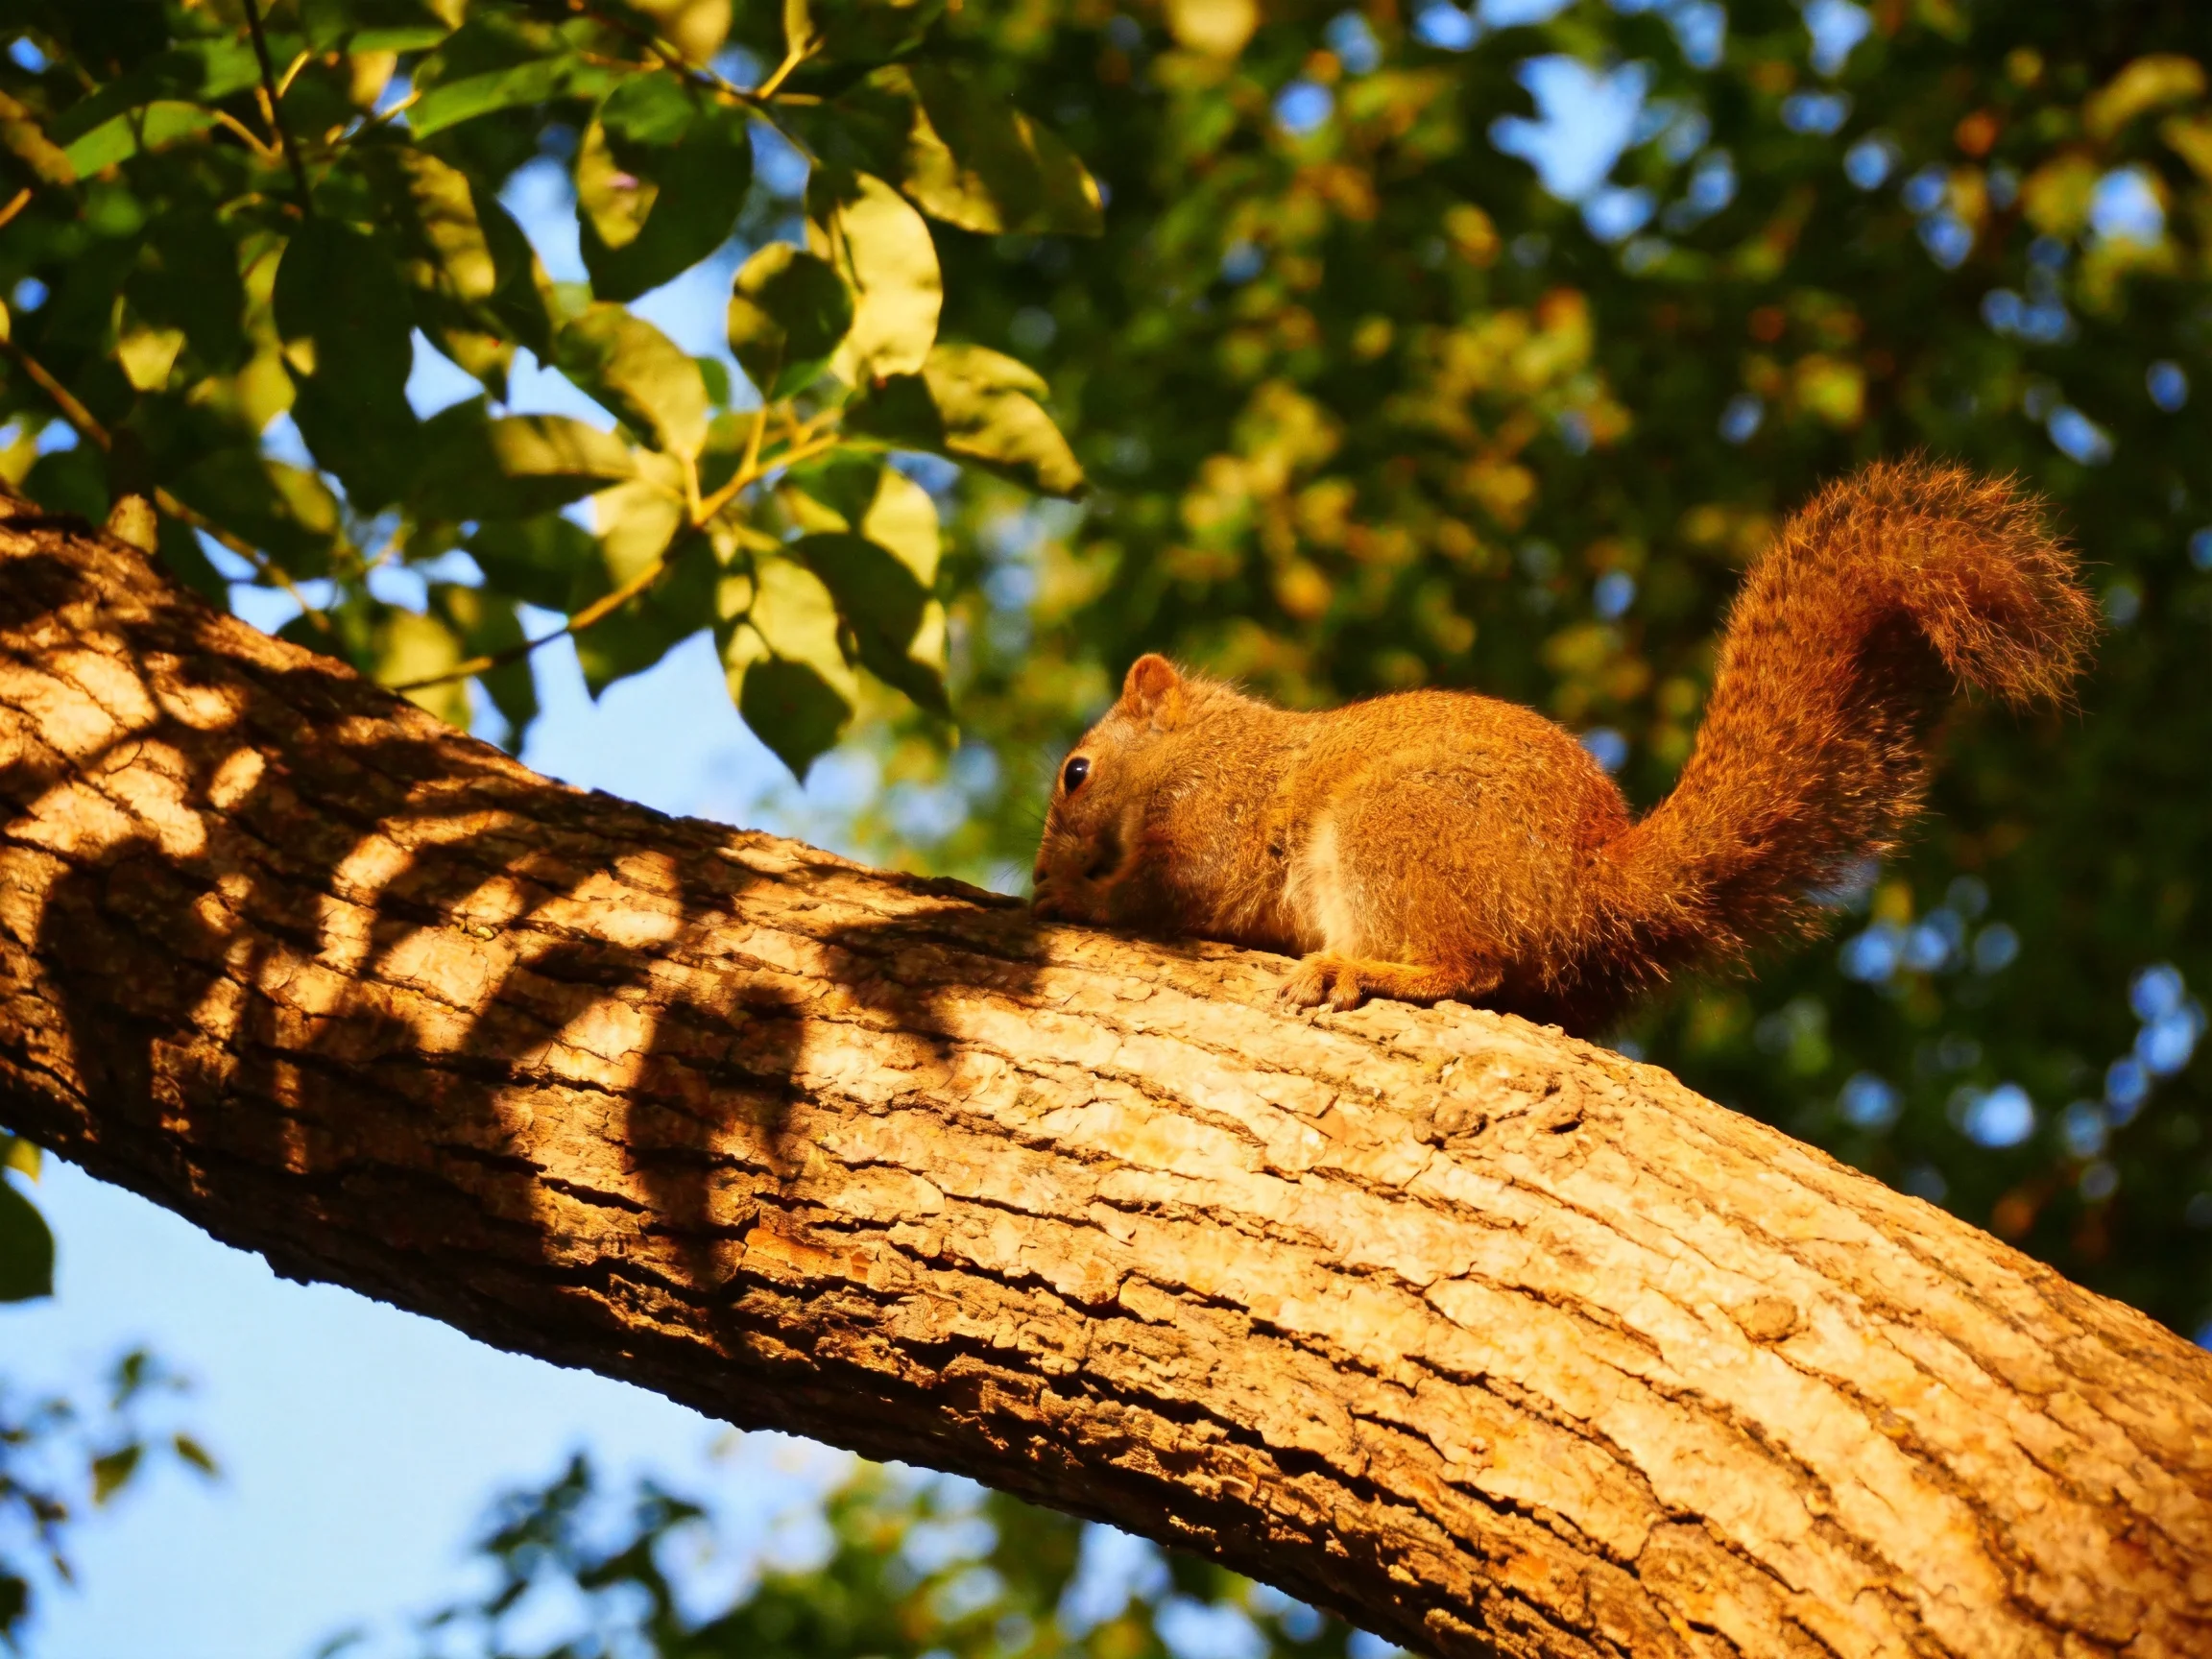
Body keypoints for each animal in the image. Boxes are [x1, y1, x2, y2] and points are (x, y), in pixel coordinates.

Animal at [1029, 459, 2095, 1032]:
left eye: (1076, 773)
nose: (1043, 871)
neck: (1201, 748)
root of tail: (1583, 888)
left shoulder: (1219, 818)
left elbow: (1173, 891)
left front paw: (1075, 900)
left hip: (1395, 827)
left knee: (1472, 968)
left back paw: (1360, 969)